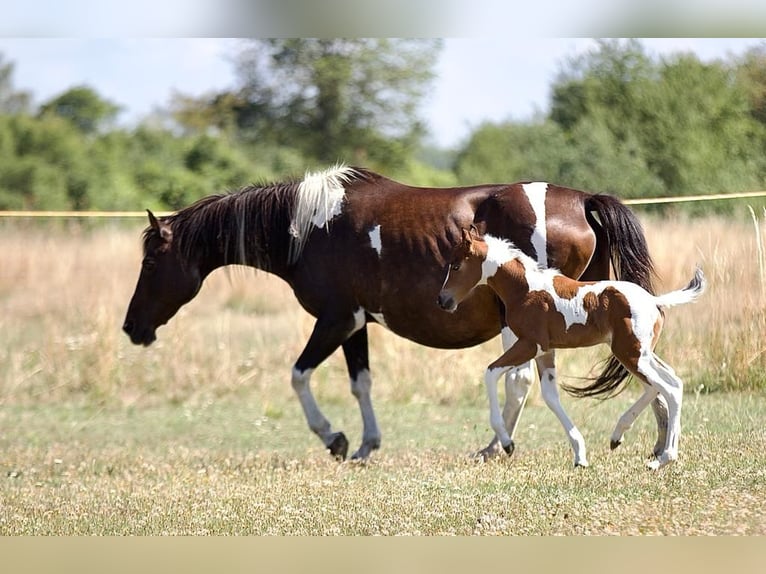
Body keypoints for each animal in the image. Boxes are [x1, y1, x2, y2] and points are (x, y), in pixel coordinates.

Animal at [122, 164, 663, 461]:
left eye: (149, 262)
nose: (131, 327)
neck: (312, 226)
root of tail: (583, 199)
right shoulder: (355, 323)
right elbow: (361, 382)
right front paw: (365, 444)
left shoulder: (334, 320)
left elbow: (298, 375)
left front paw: (334, 438)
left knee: (520, 380)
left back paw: (497, 446)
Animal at [438, 227, 705, 468]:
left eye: (456, 266)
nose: (443, 300)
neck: (525, 288)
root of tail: (653, 300)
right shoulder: (545, 351)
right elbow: (550, 396)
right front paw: (580, 455)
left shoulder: (530, 344)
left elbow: (491, 372)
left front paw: (507, 444)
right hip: (641, 354)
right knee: (667, 381)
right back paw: (618, 436)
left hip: (630, 354)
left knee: (669, 387)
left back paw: (663, 458)